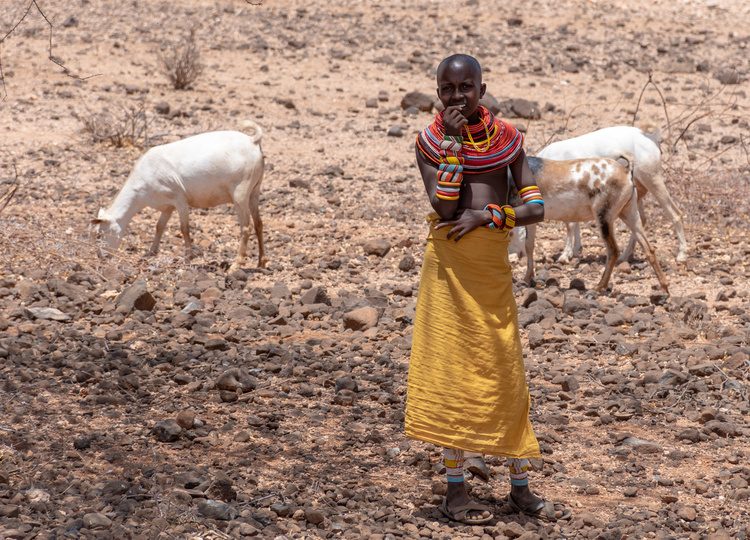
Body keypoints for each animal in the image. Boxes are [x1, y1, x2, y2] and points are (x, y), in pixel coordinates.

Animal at [92, 124, 268, 272]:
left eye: (100, 234)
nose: (101, 257)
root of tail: (253, 141)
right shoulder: (167, 206)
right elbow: (159, 226)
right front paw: (151, 253)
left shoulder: (180, 199)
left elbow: (184, 228)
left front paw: (188, 257)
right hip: (254, 191)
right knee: (259, 223)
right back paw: (261, 261)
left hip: (240, 193)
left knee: (246, 226)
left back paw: (236, 264)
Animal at [512, 154, 668, 294]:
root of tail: (625, 170)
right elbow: (529, 246)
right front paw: (527, 279)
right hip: (629, 214)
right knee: (648, 248)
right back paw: (664, 288)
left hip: (604, 218)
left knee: (613, 251)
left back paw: (599, 287)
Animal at [536, 124, 692, 264]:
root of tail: (650, 137)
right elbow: (574, 222)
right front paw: (575, 251)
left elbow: (570, 225)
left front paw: (565, 256)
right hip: (635, 193)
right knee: (641, 220)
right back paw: (625, 257)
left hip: (652, 180)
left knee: (675, 213)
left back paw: (682, 256)